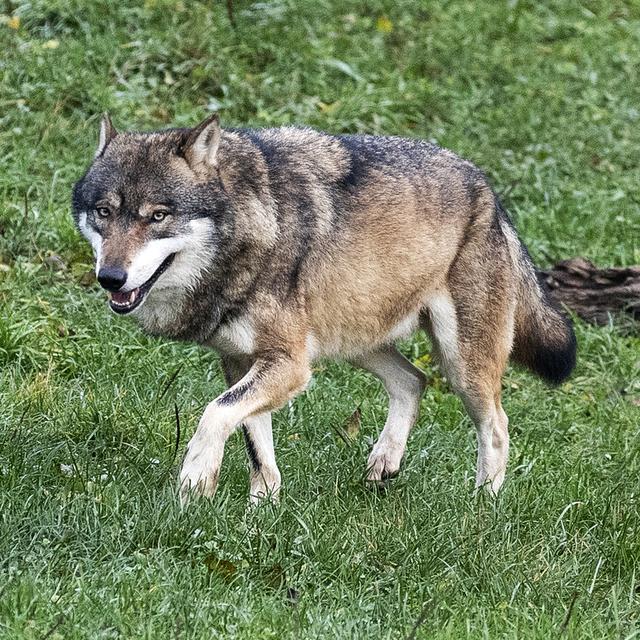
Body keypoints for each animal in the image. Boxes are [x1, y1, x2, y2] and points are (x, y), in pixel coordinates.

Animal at [71, 115, 576, 504]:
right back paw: (384, 462)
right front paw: (262, 511)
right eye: (103, 212)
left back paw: (482, 504)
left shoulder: (290, 365)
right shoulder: (241, 361)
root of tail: (488, 189)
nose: (110, 278)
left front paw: (196, 479)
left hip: (461, 366)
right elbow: (256, 445)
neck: (252, 229)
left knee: (497, 425)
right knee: (413, 380)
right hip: (356, 340)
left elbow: (214, 414)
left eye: (157, 216)